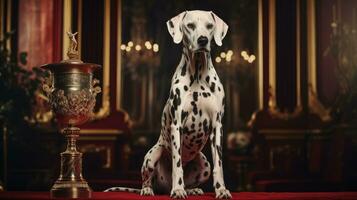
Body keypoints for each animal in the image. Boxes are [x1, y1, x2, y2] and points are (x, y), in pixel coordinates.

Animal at [104, 10, 229, 198]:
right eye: (190, 25)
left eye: (209, 26)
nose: (203, 40)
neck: (198, 75)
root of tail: (162, 186)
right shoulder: (177, 126)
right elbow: (177, 164)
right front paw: (177, 190)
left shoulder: (217, 126)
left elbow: (219, 165)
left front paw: (221, 190)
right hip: (152, 155)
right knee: (147, 180)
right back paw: (150, 189)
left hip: (204, 163)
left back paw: (191, 189)